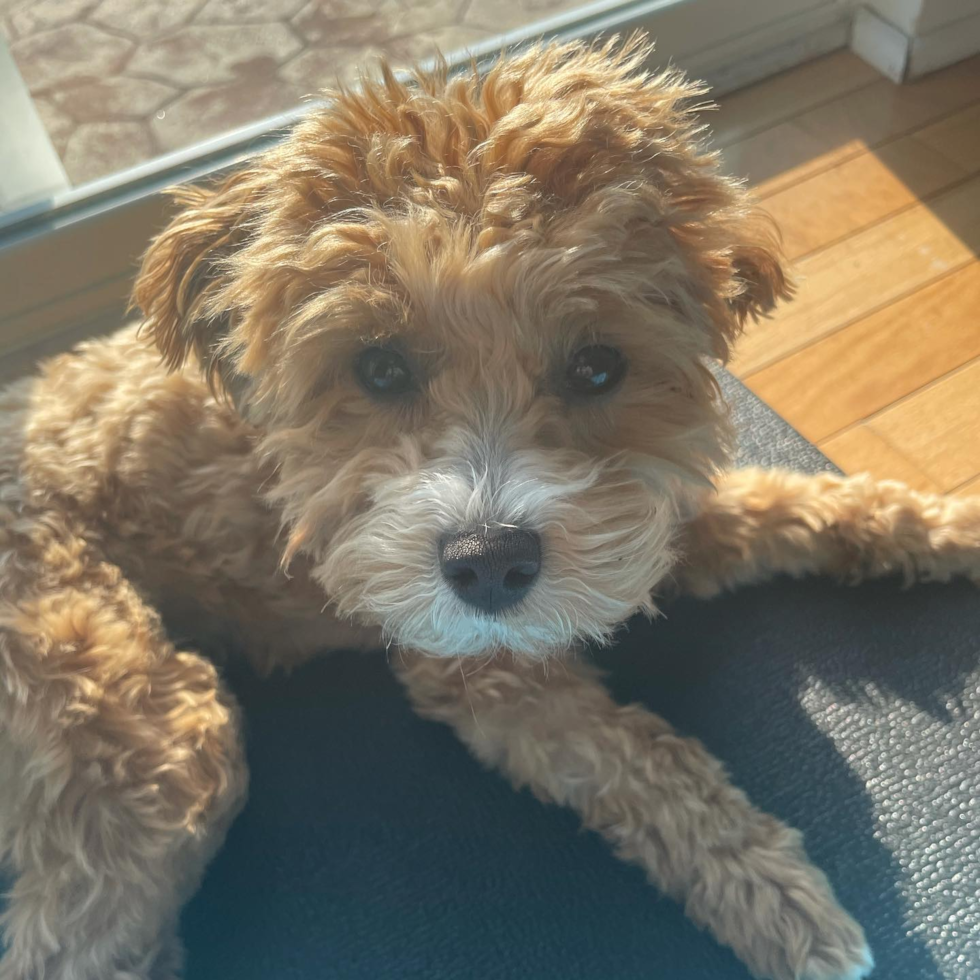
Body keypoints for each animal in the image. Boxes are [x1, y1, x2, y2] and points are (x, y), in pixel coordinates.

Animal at [1, 36, 980, 980]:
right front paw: (784, 901)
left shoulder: (643, 522)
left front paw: (943, 524)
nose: (490, 565)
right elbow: (646, 761)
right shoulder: (485, 674)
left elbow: (792, 501)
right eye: (378, 366)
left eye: (598, 366)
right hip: (135, 721)